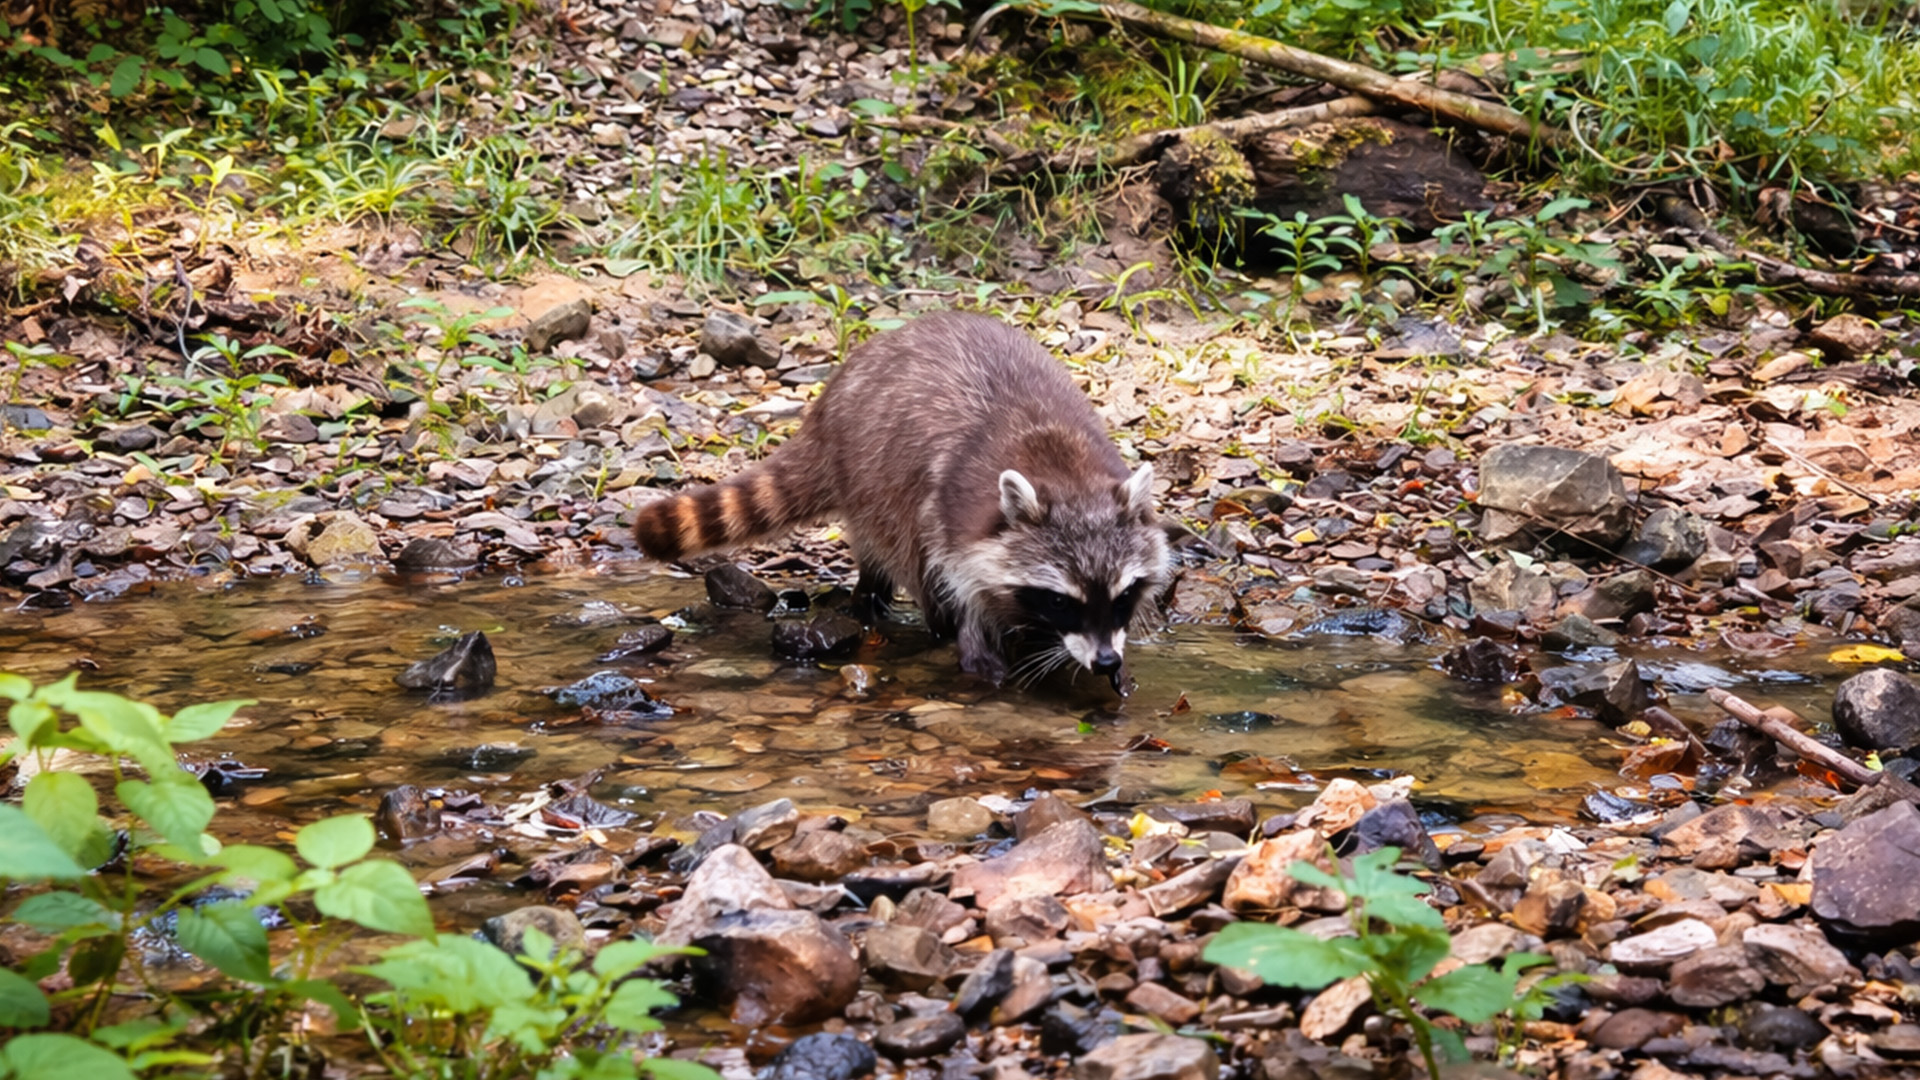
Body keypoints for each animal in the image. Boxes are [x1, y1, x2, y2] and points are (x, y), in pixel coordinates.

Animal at [633, 311, 1171, 694]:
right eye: (1061, 600)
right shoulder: (951, 514)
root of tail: (834, 397)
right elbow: (956, 577)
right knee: (898, 545)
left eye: (1122, 596)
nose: (1106, 660)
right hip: (873, 474)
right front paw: (978, 640)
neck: (1063, 470)